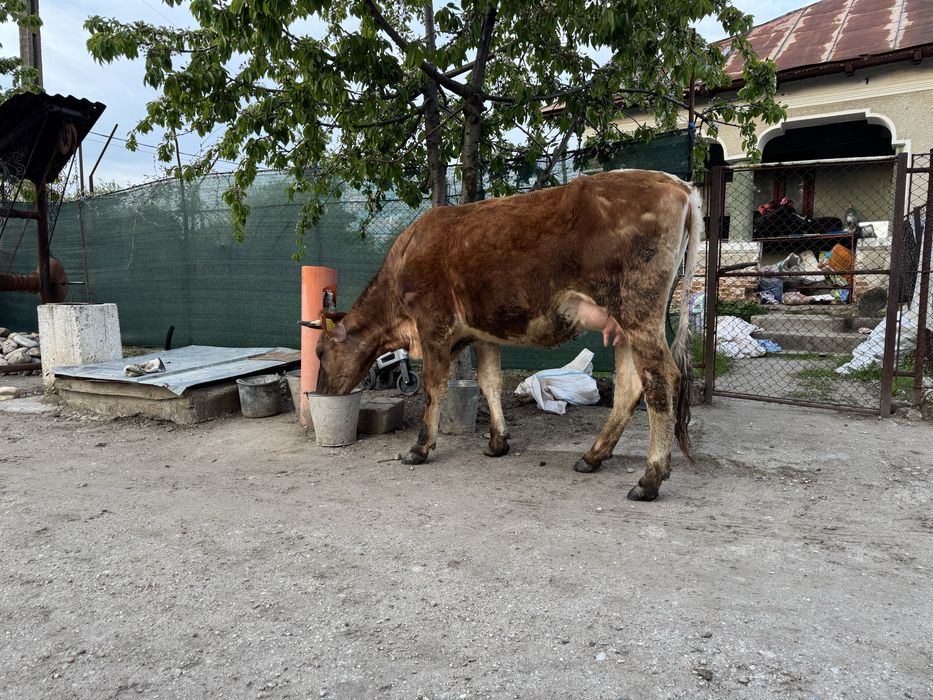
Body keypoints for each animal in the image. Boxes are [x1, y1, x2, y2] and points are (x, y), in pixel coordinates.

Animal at [311, 169, 702, 501]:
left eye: (320, 352)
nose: (321, 391)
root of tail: (677, 184)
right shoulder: (484, 332)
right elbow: (489, 382)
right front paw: (498, 442)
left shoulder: (433, 321)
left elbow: (433, 386)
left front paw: (419, 448)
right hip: (621, 325)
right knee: (630, 386)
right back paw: (592, 457)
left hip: (638, 309)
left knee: (660, 380)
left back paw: (650, 479)